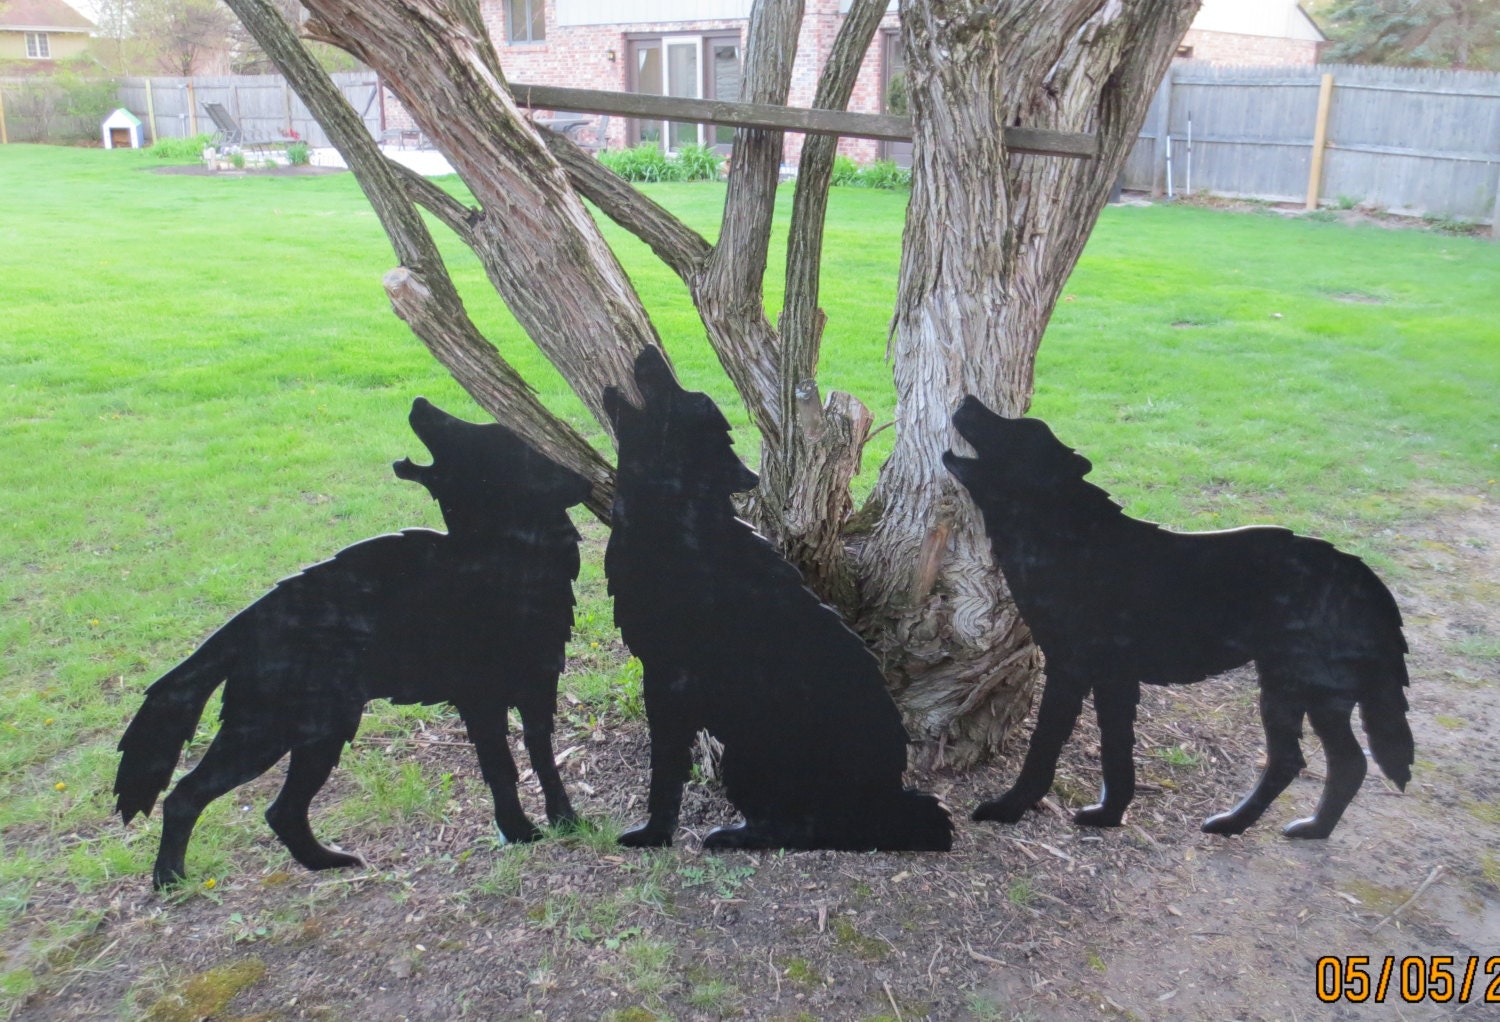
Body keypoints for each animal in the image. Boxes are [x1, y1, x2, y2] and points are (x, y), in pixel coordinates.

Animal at [115, 398, 591, 888]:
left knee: (280, 811)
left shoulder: (538, 688)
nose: (419, 402)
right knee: (186, 795)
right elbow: (501, 768)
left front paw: (566, 822)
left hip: (318, 732)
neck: (502, 561)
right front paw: (520, 833)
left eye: (480, 435)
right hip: (270, 732)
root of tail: (246, 622)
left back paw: (328, 863)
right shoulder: (482, 700)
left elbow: (542, 758)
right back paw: (170, 881)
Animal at [602, 346, 952, 852]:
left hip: (748, 750)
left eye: (684, 396)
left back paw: (729, 837)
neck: (676, 519)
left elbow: (665, 771)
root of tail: (885, 799)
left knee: (792, 829)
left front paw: (653, 835)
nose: (648, 351)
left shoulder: (668, 677)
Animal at [943, 396, 1413, 839]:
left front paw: (1008, 808)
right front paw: (1109, 815)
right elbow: (1116, 750)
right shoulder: (1115, 679)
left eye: (1020, 432)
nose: (966, 399)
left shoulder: (1071, 670)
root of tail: (1364, 574)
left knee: (1323, 761)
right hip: (1299, 691)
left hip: (1303, 689)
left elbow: (1045, 744)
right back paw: (1284, 827)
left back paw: (1272, 826)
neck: (1066, 536)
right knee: (1324, 762)